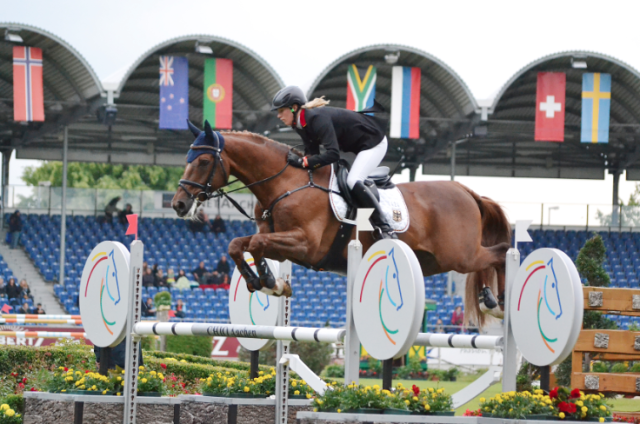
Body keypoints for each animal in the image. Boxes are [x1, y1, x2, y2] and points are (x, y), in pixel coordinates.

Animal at [171, 121, 510, 326]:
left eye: (203, 161)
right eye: (186, 157)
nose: (179, 204)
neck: (285, 183)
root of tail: (467, 191)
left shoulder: (304, 244)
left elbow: (254, 244)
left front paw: (268, 281)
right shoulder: (281, 243)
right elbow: (238, 245)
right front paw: (265, 281)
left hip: (458, 255)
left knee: (502, 252)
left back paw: (499, 302)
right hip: (441, 259)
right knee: (490, 258)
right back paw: (488, 299)